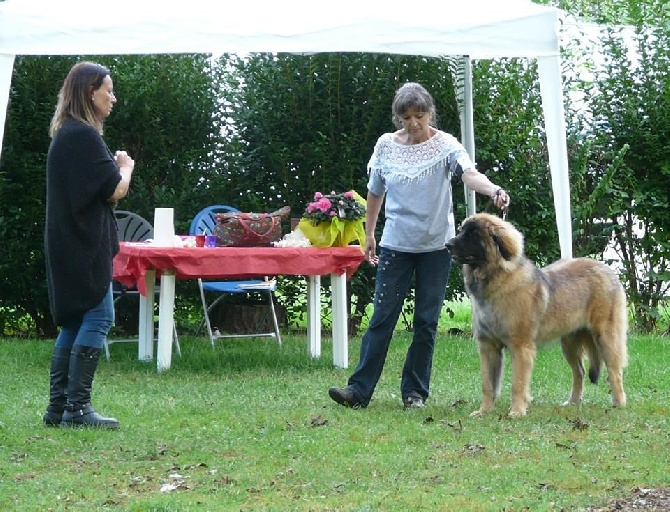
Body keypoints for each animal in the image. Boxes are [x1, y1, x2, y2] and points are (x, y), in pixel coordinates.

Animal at [446, 212, 632, 416]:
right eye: (462, 230)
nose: (447, 244)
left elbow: (518, 383)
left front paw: (517, 412)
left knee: (615, 371)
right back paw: (573, 402)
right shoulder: (488, 346)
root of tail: (605, 268)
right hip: (569, 342)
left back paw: (619, 403)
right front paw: (483, 411)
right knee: (579, 372)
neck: (495, 280)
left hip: (606, 336)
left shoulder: (520, 347)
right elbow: (488, 385)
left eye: (473, 234)